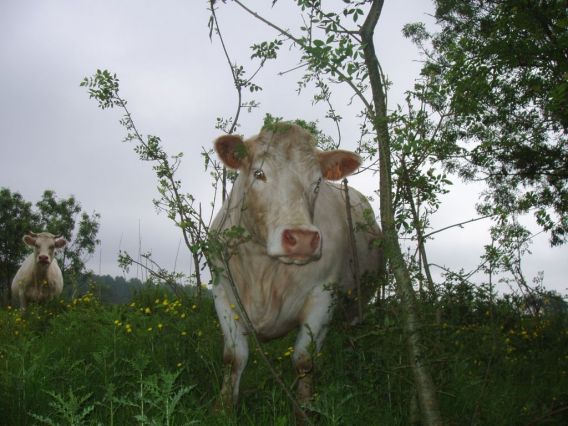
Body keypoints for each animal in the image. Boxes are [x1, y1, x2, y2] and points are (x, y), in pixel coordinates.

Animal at [209, 124, 382, 412]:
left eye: (317, 182)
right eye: (259, 173)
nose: (302, 238)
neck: (264, 268)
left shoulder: (323, 296)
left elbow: (304, 361)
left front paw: (305, 409)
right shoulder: (223, 291)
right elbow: (234, 357)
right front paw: (223, 408)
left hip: (358, 300)